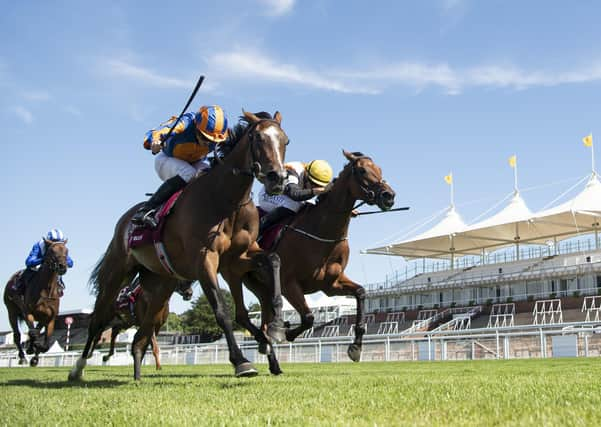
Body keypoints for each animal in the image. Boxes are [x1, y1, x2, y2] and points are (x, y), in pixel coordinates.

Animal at [69, 111, 290, 382]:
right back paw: (78, 368)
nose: (277, 178)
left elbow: (273, 261)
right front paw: (241, 361)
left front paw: (276, 328)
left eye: (285, 141)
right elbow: (222, 311)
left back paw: (137, 376)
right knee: (98, 320)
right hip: (116, 273)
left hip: (160, 285)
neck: (226, 199)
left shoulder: (238, 259)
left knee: (141, 337)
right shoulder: (206, 258)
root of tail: (124, 221)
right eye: (257, 138)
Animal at [241, 152, 396, 372]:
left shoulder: (330, 284)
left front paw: (356, 347)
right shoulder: (289, 284)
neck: (322, 231)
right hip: (254, 282)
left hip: (264, 288)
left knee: (264, 321)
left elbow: (360, 292)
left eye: (380, 169)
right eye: (362, 170)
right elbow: (309, 318)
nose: (388, 196)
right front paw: (286, 332)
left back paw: (274, 364)